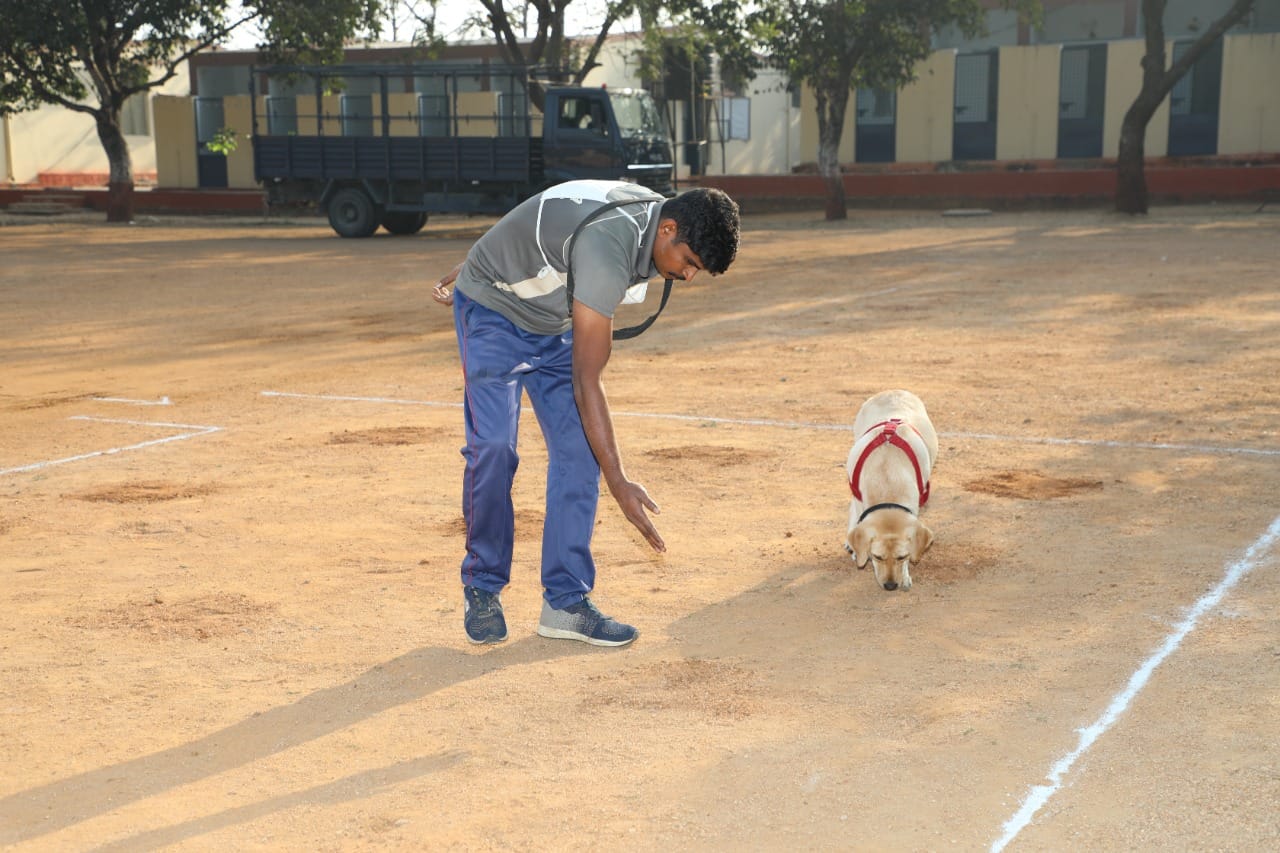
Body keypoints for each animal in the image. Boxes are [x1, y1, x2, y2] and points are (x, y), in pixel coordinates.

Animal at [839, 389, 942, 589]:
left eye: (902, 557)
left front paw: (906, 576)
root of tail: (894, 391)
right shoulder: (858, 496)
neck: (887, 482)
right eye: (877, 557)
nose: (890, 586)